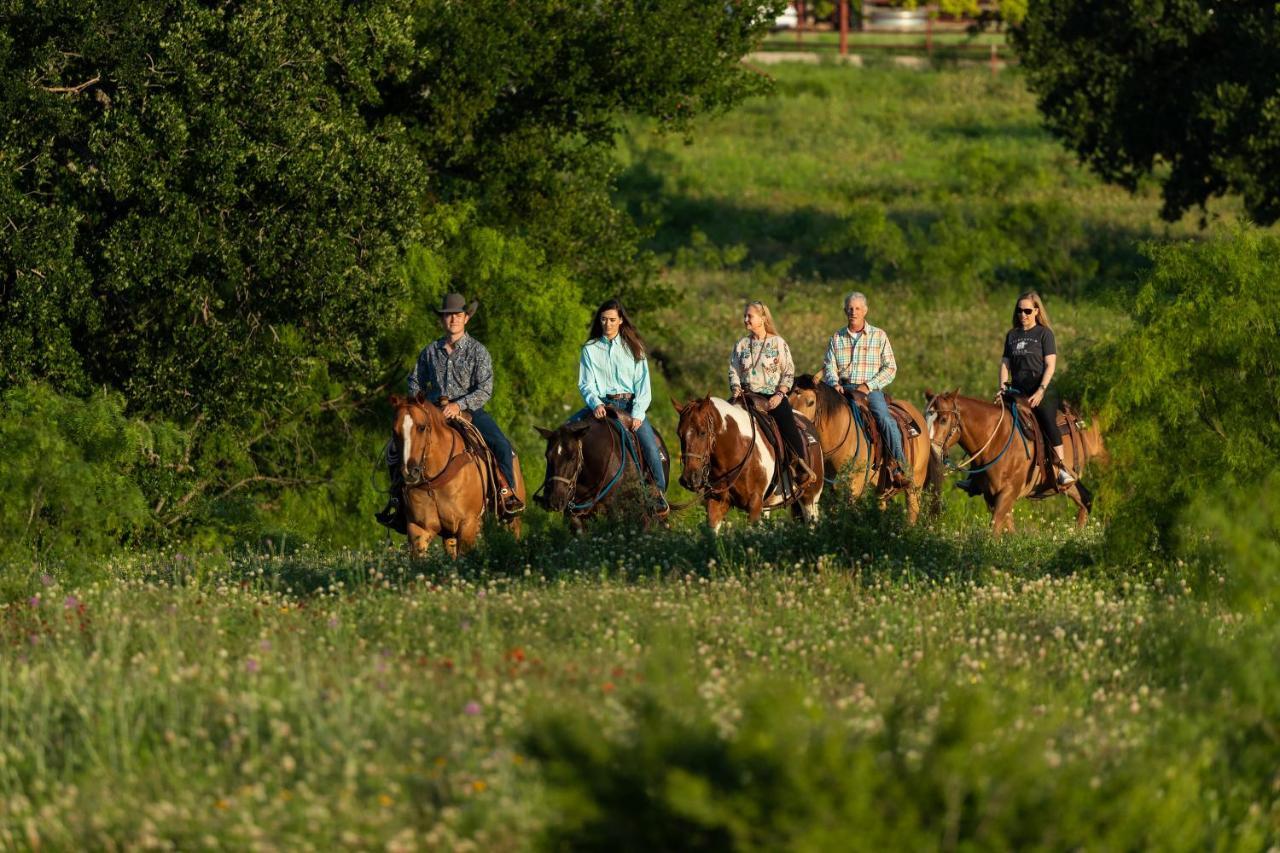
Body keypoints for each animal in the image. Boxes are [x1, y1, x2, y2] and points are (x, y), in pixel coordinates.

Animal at [391, 394, 527, 558]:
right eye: (394, 431)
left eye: (421, 427)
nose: (409, 472)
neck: (434, 482)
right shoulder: (418, 528)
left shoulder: (467, 525)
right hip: (451, 535)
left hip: (512, 520)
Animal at [670, 394, 819, 527]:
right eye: (679, 434)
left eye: (702, 432)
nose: (689, 478)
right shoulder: (717, 501)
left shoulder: (754, 504)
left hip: (810, 498)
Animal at [783, 373, 947, 522]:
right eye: (787, 400)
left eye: (810, 402)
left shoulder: (853, 489)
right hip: (880, 491)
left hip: (915, 484)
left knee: (912, 514)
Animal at [926, 389, 1105, 535]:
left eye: (943, 419)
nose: (931, 450)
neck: (997, 438)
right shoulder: (990, 495)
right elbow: (1008, 528)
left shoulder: (1008, 492)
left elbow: (995, 529)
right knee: (1086, 500)